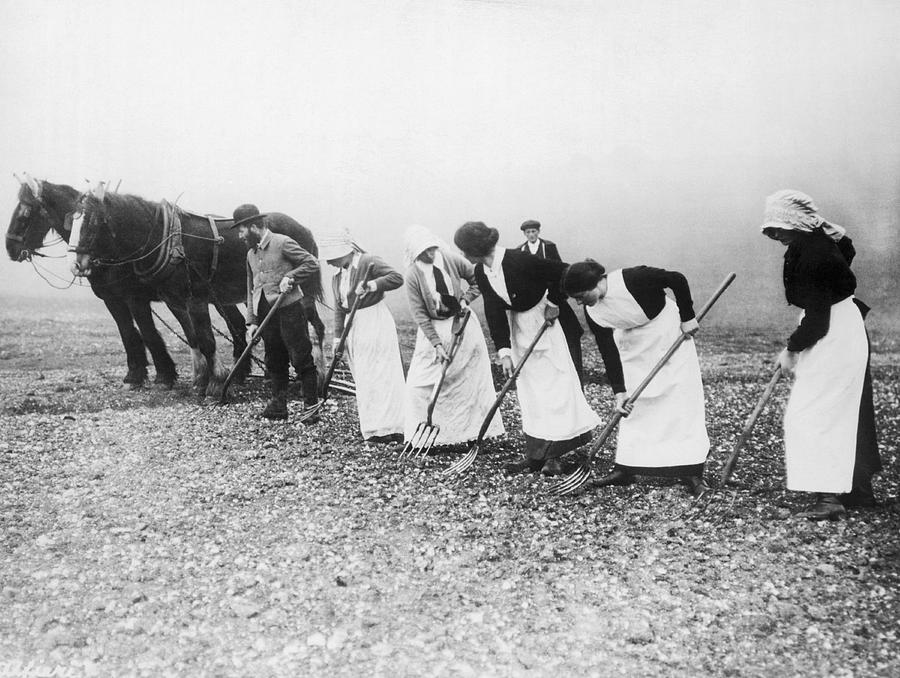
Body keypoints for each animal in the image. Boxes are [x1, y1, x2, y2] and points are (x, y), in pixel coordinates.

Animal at [70, 183, 324, 402]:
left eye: (93, 221)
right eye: (70, 221)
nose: (78, 263)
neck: (166, 239)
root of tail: (304, 229)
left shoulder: (194, 300)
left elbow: (206, 341)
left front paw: (216, 384)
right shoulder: (175, 301)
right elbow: (193, 337)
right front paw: (202, 379)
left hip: (302, 292)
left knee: (315, 329)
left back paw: (318, 377)